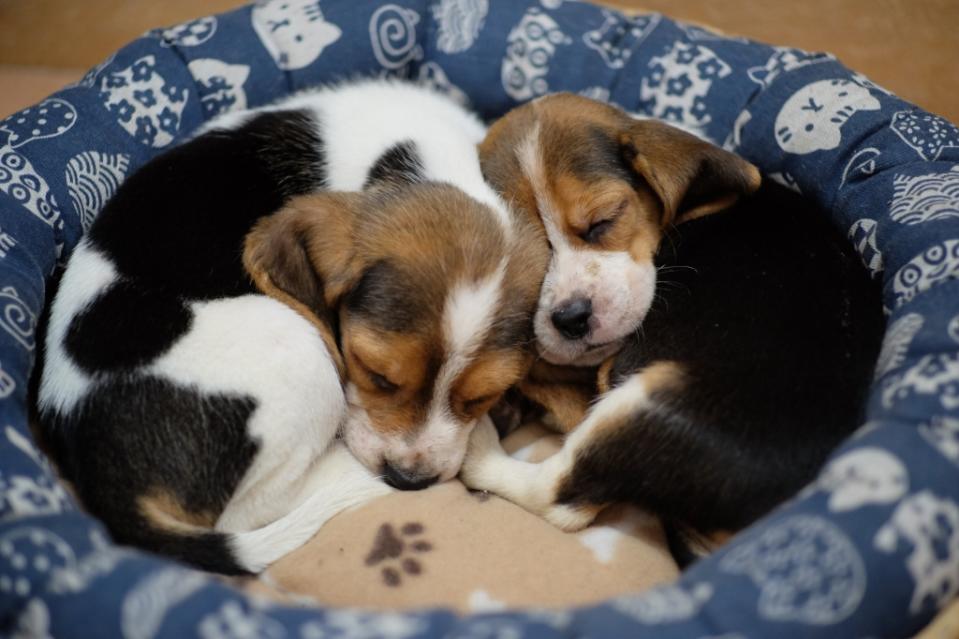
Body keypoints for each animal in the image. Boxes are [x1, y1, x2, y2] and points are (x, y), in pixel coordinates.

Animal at [35, 80, 548, 576]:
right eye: (376, 374)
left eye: (482, 397)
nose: (408, 480)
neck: (421, 160)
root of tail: (108, 483)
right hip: (296, 349)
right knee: (249, 510)